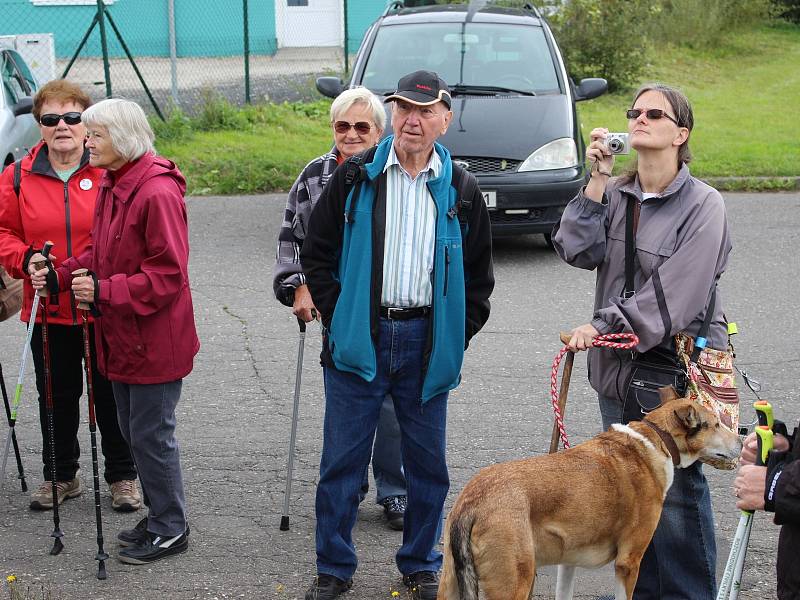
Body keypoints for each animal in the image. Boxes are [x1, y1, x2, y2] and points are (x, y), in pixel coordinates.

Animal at [440, 392, 740, 596]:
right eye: (716, 424)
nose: (742, 439)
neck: (655, 441)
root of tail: (472, 503)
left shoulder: (567, 561)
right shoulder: (628, 562)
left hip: (451, 582)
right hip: (515, 581)